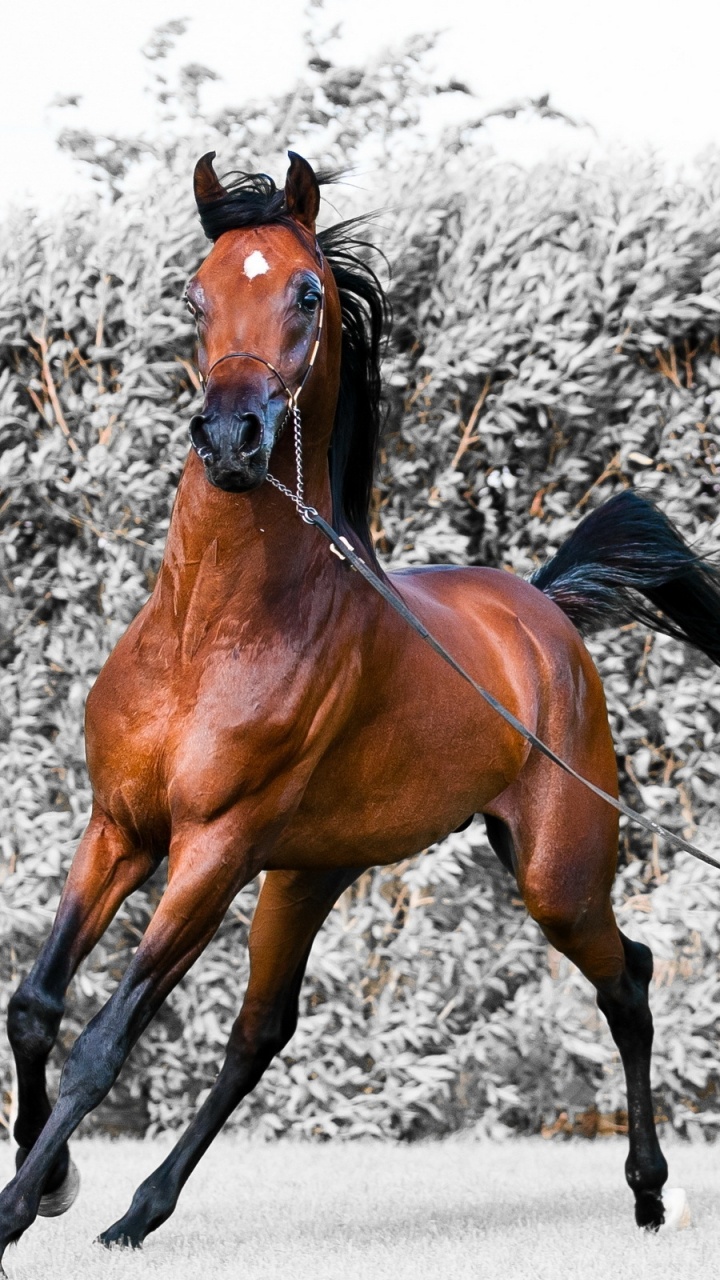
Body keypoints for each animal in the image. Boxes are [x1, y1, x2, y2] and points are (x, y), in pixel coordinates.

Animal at [1, 150, 719, 1265]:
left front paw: (15, 1208)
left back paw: (652, 1195)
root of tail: (543, 612)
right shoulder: (119, 826)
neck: (209, 633)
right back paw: (135, 1214)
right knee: (261, 1032)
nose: (232, 438)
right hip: (309, 873)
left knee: (630, 978)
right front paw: (57, 1185)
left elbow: (101, 1045)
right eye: (193, 294)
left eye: (306, 292)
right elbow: (34, 1006)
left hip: (555, 871)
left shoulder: (209, 848)